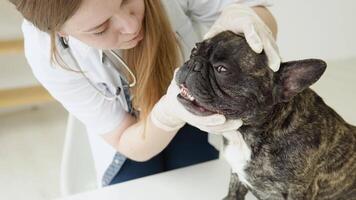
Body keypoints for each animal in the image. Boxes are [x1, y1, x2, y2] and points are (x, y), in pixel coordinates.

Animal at [175, 31, 356, 200]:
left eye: (222, 69)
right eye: (194, 50)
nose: (193, 62)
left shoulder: (299, 190)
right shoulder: (237, 174)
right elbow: (234, 189)